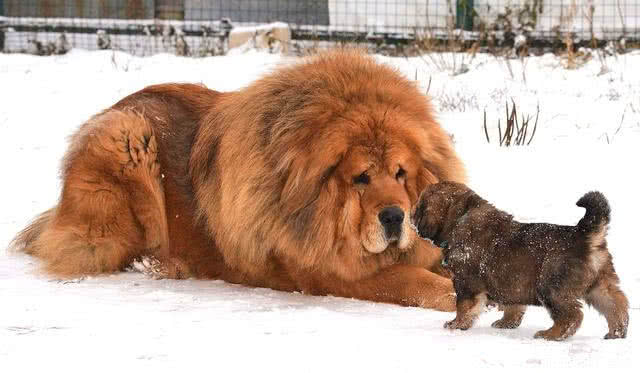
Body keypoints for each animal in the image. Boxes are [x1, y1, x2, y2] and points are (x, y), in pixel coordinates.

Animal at [11, 50, 464, 310]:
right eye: (361, 178)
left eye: (401, 173)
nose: (394, 217)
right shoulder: (328, 271)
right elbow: (412, 280)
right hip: (125, 138)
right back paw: (159, 262)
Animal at [412, 181, 628, 340]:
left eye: (420, 205)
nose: (411, 216)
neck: (460, 217)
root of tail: (586, 235)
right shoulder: (509, 283)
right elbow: (513, 306)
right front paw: (507, 323)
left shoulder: (466, 282)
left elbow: (463, 307)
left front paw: (456, 325)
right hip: (599, 284)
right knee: (616, 304)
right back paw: (617, 332)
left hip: (551, 287)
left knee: (572, 316)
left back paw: (550, 334)